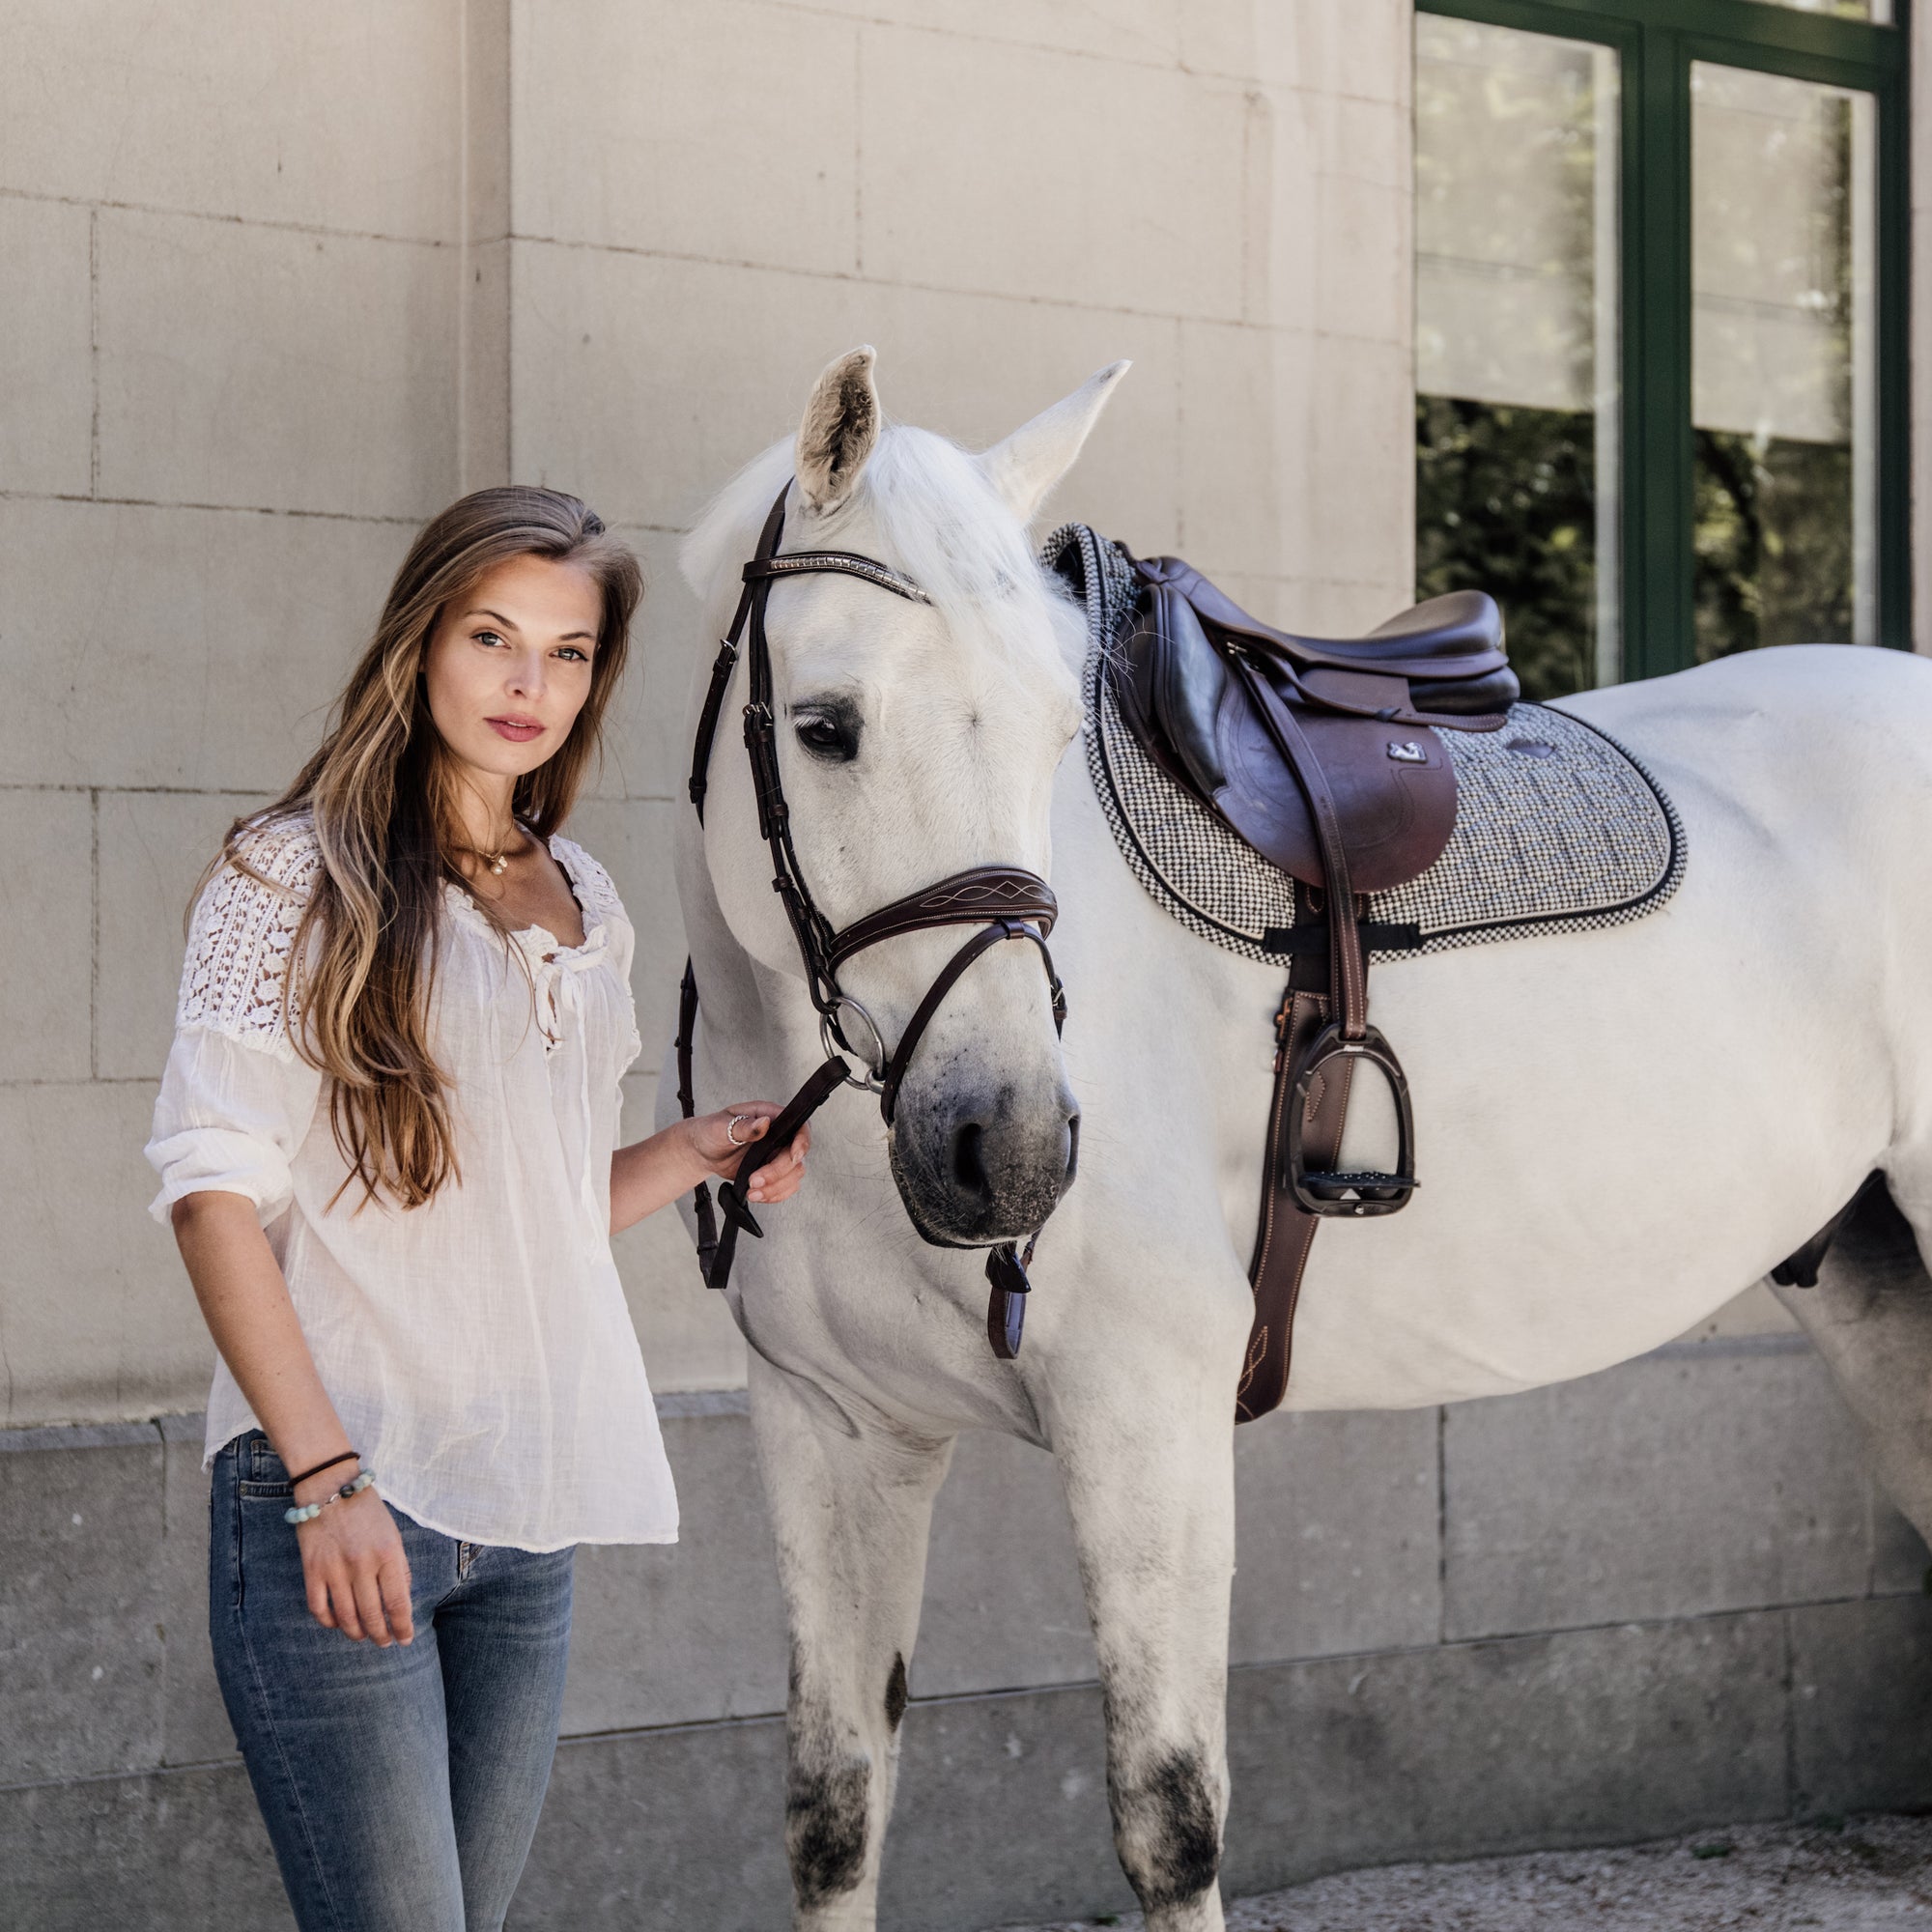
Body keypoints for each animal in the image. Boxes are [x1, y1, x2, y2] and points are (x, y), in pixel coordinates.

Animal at [661, 352, 1932, 1932]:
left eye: (1049, 729)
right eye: (825, 724)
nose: (1005, 1144)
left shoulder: (1146, 1422)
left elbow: (1170, 1818)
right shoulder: (833, 1434)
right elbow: (832, 1817)